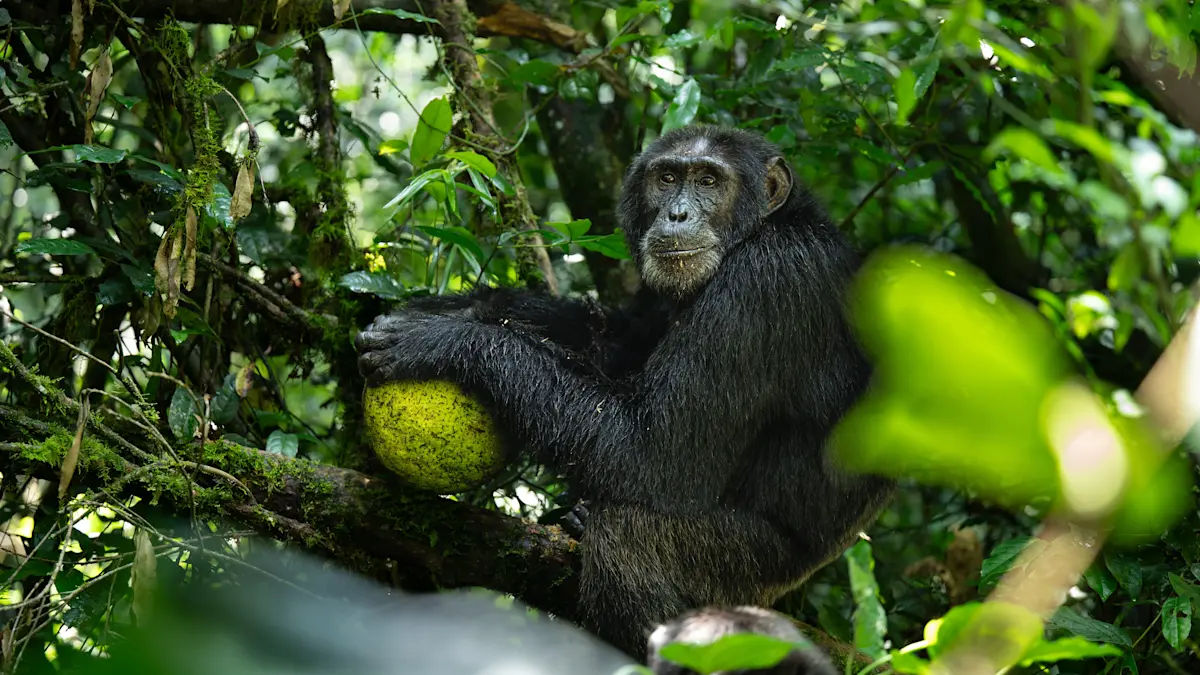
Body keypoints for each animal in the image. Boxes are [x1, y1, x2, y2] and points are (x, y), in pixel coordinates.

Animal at [356, 125, 894, 657]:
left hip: (746, 575)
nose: (677, 213)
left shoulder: (765, 282)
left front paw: (443, 339)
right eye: (667, 178)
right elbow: (615, 339)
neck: (761, 232)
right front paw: (462, 307)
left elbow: (652, 451)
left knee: (627, 536)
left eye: (709, 181)